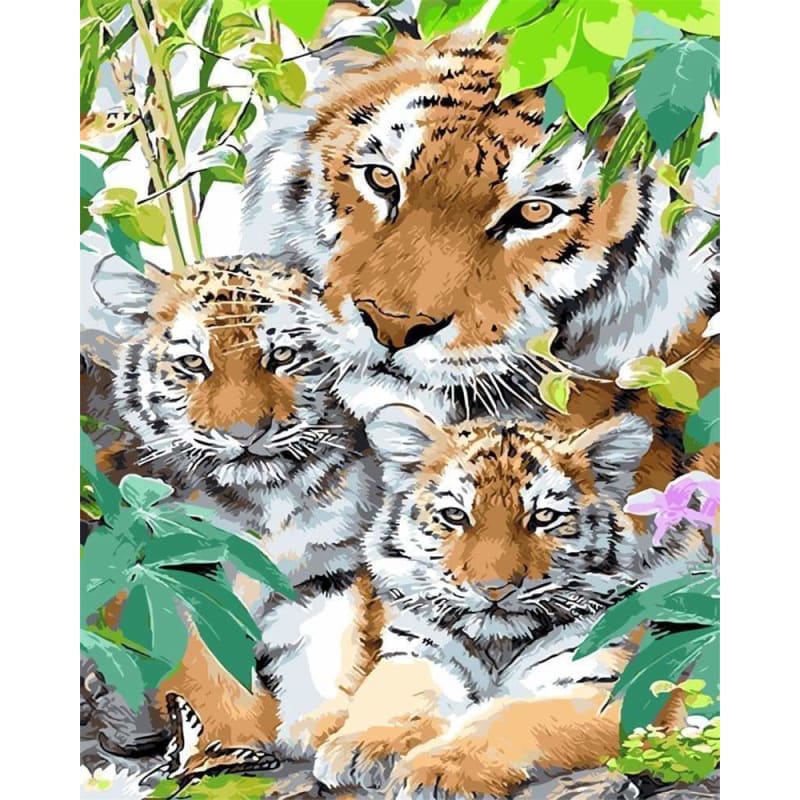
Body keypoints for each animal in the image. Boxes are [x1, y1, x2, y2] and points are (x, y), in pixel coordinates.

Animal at [88, 253, 384, 765]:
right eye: (193, 363)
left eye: (281, 356)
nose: (245, 434)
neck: (263, 498)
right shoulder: (174, 575)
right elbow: (206, 662)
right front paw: (237, 738)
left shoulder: (327, 567)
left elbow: (325, 643)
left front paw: (321, 726)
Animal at [312, 404, 711, 798]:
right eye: (455, 515)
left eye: (544, 517)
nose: (494, 588)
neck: (498, 643)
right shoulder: (415, 653)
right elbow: (401, 696)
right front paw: (361, 748)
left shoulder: (610, 688)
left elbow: (511, 718)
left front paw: (437, 771)